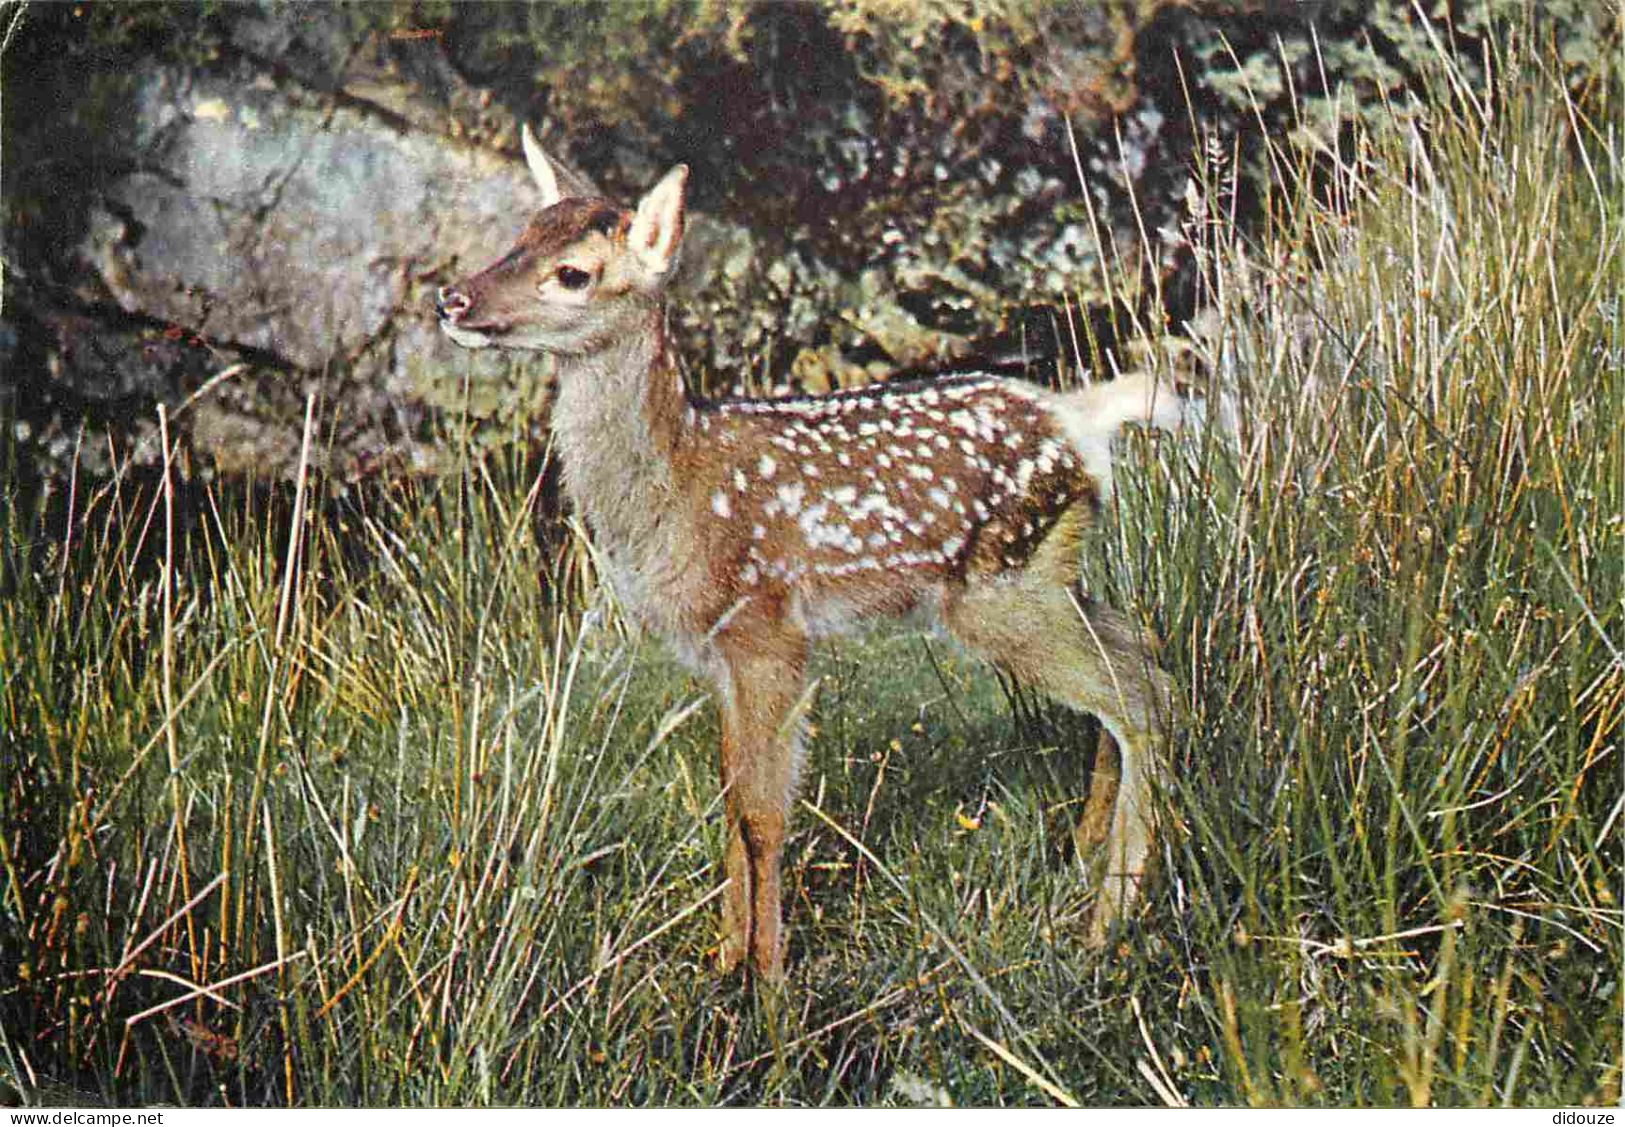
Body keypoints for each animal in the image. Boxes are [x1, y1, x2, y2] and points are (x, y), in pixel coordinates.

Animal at [438, 128, 1183, 987]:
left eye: (572, 273)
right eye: (519, 236)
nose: (452, 299)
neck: (676, 483)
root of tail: (1080, 419)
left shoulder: (767, 629)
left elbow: (764, 814)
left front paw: (770, 988)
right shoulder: (720, 652)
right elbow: (732, 798)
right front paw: (724, 959)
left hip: (1001, 589)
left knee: (1142, 692)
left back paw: (1108, 919)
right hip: (1048, 571)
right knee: (1137, 651)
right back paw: (1088, 861)